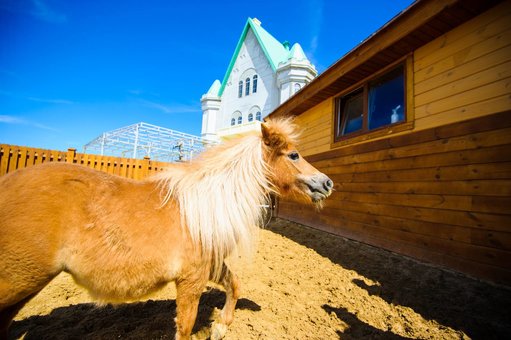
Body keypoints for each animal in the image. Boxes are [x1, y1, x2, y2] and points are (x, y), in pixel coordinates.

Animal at [0, 118, 334, 338]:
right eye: (294, 155)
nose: (327, 183)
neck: (206, 208)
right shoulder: (191, 280)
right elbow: (185, 326)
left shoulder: (210, 267)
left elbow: (235, 284)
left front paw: (220, 327)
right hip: (19, 281)